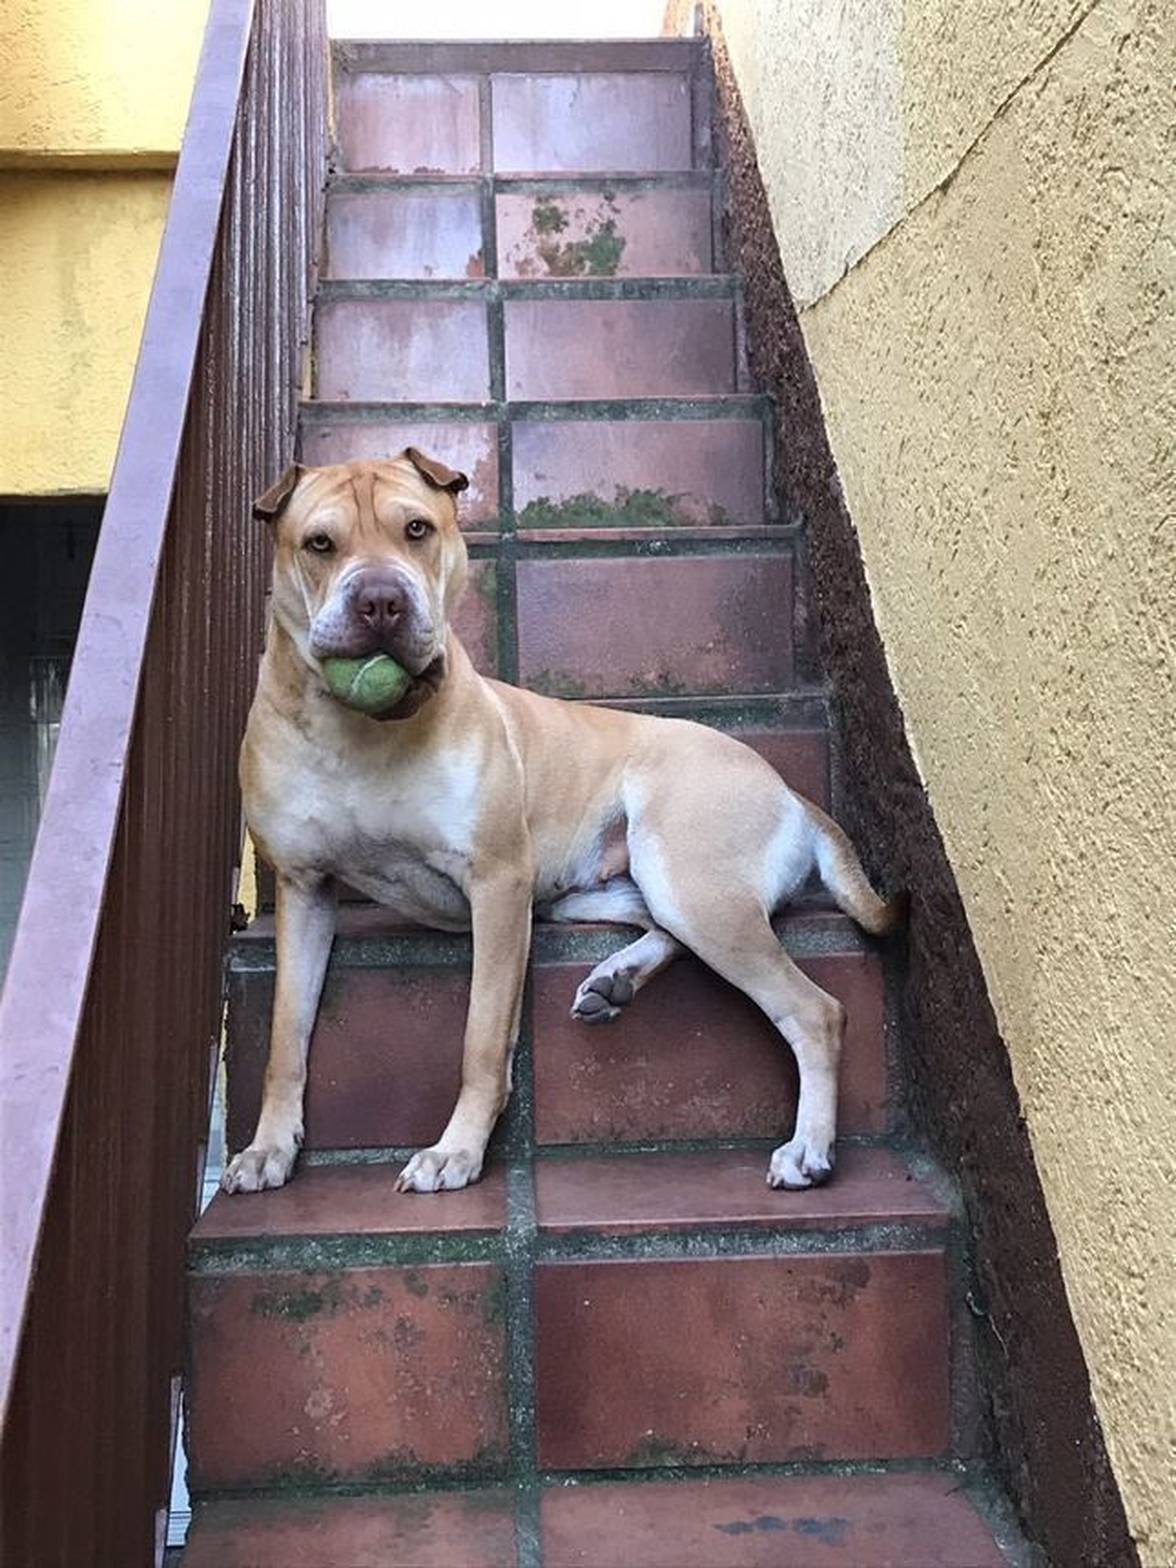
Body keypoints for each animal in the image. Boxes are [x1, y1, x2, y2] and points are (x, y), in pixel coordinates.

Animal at [223, 450, 902, 1197]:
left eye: (417, 529)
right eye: (319, 544)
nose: (380, 600)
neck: (364, 731)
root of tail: (790, 790)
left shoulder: (497, 884)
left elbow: (482, 1038)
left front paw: (456, 1151)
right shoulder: (304, 890)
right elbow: (285, 1039)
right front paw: (267, 1148)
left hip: (690, 880)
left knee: (815, 1011)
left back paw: (808, 1148)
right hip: (601, 893)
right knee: (662, 929)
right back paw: (617, 979)